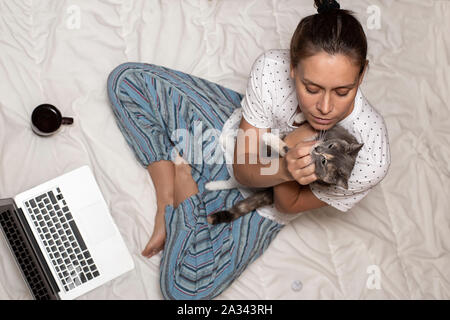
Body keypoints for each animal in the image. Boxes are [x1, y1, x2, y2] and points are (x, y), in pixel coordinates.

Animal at [206, 124, 364, 224]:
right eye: (330, 145)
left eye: (324, 161)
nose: (317, 148)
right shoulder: (336, 130)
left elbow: (286, 149)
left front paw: (270, 138)